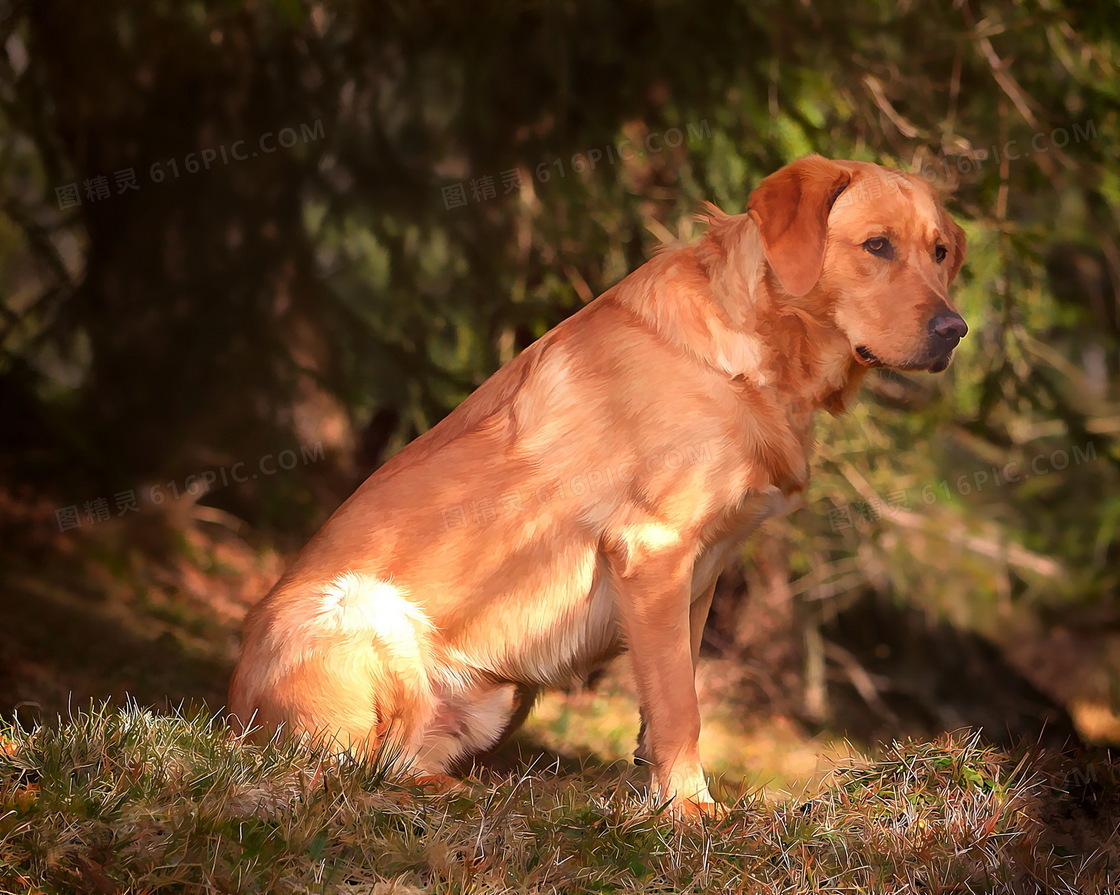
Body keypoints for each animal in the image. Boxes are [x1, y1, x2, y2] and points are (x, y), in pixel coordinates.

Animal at [225, 157, 963, 815]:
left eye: (940, 251)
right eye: (876, 245)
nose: (956, 330)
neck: (758, 352)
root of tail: (234, 718)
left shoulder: (700, 574)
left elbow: (668, 696)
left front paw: (657, 793)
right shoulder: (654, 548)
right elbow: (681, 705)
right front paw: (689, 810)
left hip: (496, 693)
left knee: (401, 760)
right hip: (359, 607)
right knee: (355, 768)